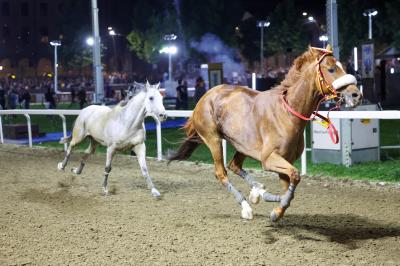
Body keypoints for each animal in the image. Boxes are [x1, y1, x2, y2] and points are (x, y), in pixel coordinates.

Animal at [169, 46, 362, 222]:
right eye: (331, 68)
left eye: (343, 66)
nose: (356, 94)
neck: (288, 112)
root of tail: (204, 97)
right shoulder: (269, 158)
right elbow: (294, 176)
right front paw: (276, 209)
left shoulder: (286, 160)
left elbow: (291, 185)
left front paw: (274, 203)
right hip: (213, 139)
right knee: (221, 172)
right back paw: (246, 206)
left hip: (242, 145)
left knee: (234, 165)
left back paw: (257, 191)